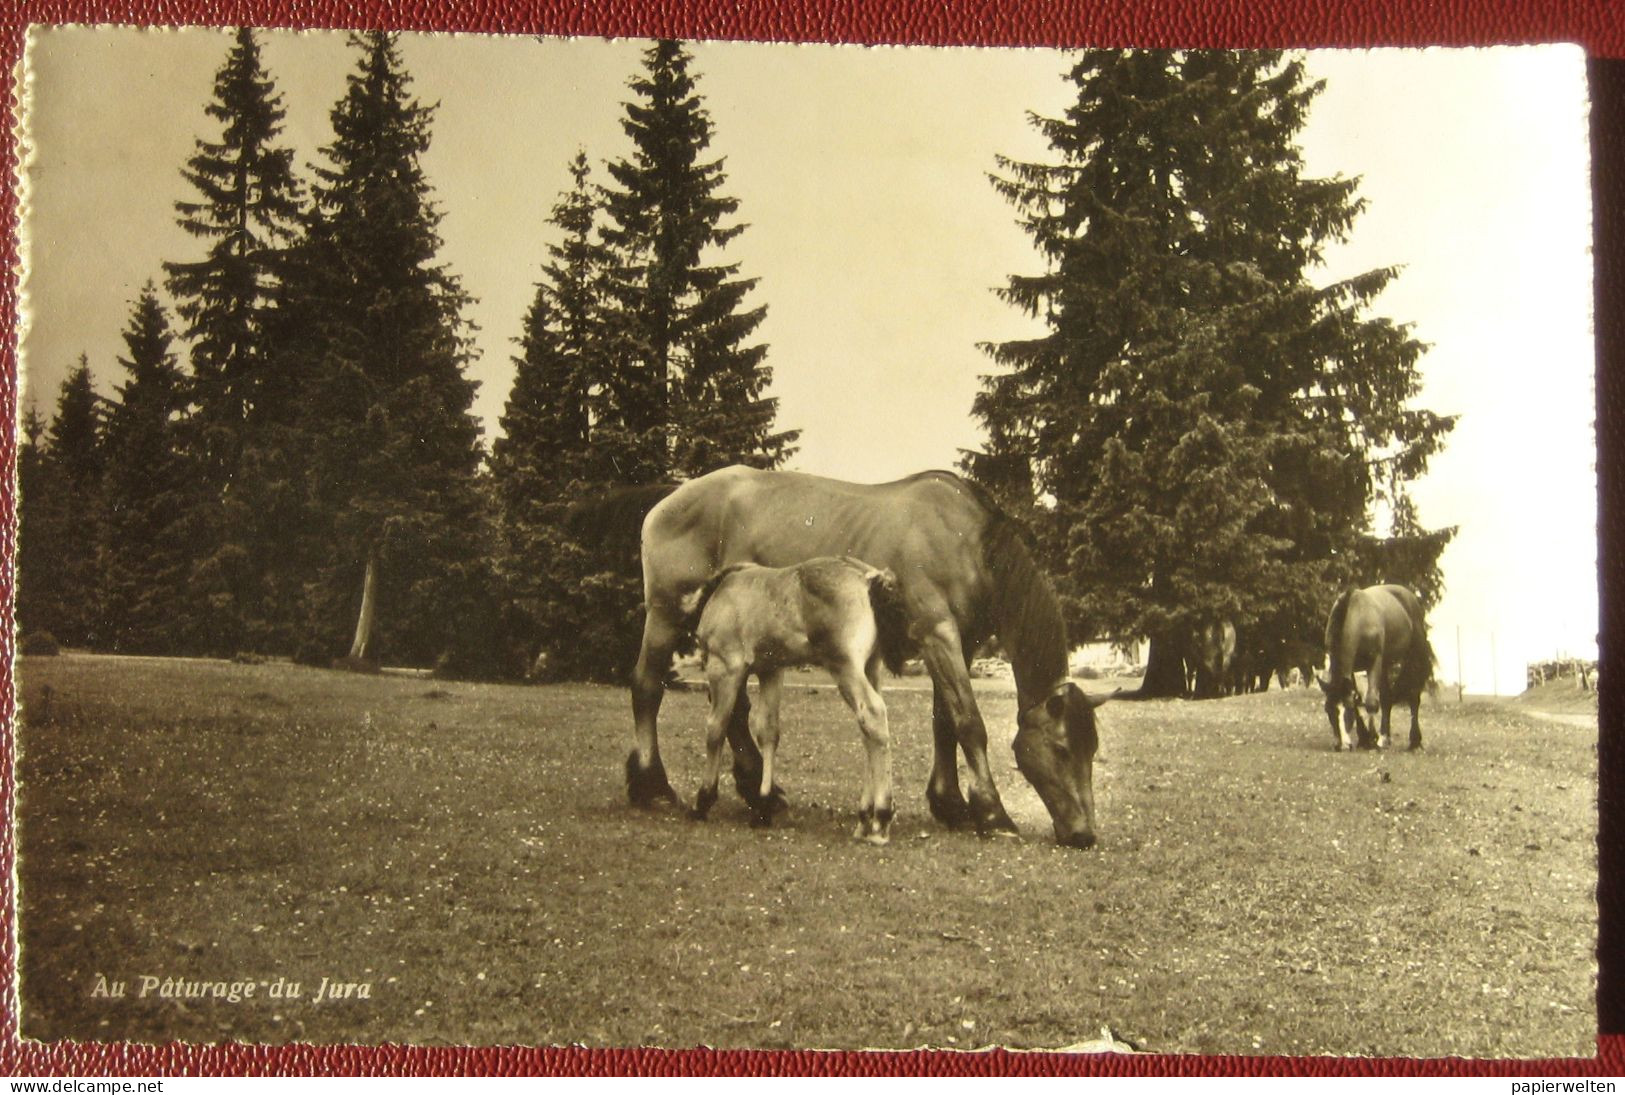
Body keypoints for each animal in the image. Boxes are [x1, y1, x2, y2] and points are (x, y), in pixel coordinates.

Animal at [676, 555, 910, 844]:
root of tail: (867, 578)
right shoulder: (772, 670)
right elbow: (768, 732)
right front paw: (763, 808)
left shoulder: (725, 667)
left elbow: (716, 729)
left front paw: (703, 800)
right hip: (871, 667)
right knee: (869, 731)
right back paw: (865, 818)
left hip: (845, 667)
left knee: (873, 714)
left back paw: (880, 819)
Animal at [1319, 578, 1436, 750]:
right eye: (1328, 711)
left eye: (1346, 712)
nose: (1341, 746)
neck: (1358, 617)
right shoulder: (1351, 670)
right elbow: (1358, 699)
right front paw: (1365, 738)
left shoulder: (1374, 662)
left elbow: (1370, 702)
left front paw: (1372, 740)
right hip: (1386, 664)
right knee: (1387, 698)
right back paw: (1385, 738)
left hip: (1413, 657)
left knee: (1413, 697)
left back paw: (1413, 742)